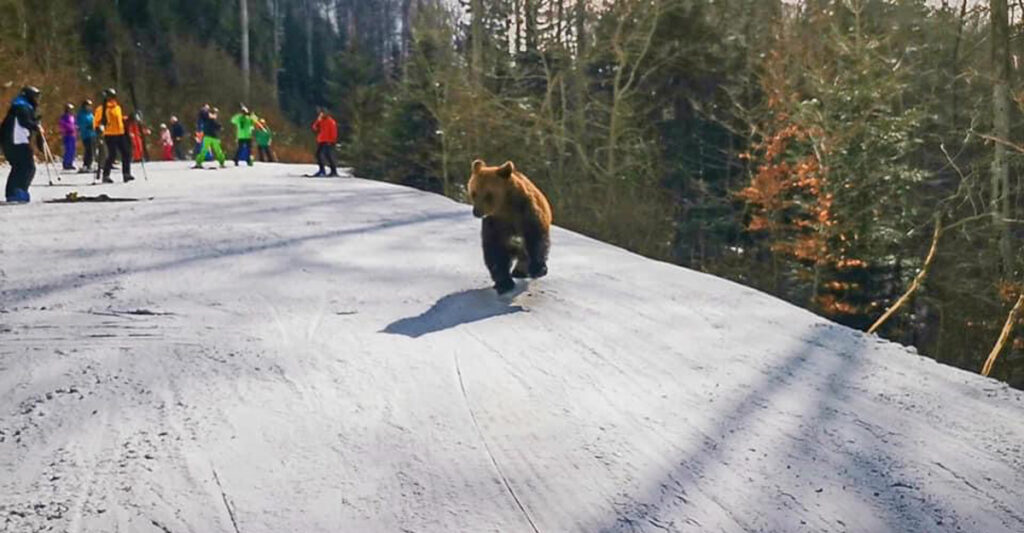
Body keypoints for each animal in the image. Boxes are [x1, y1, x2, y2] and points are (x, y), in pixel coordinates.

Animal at [467, 159, 553, 294]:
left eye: (488, 194)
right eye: (474, 193)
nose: (477, 212)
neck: (506, 207)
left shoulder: (527, 215)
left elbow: (536, 239)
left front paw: (538, 269)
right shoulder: (495, 224)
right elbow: (495, 251)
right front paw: (504, 283)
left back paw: (520, 271)